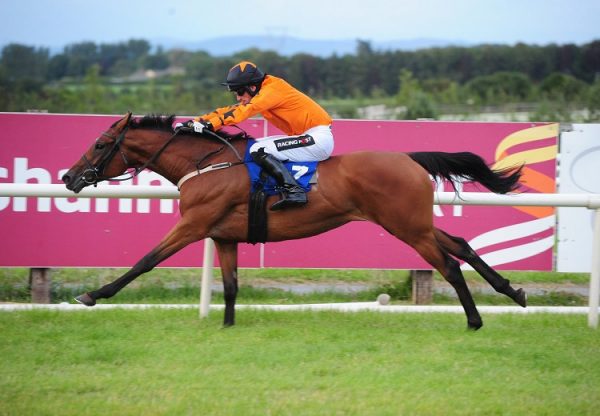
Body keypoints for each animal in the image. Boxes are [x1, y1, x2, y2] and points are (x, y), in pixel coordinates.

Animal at [63, 113, 528, 328]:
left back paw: (474, 320)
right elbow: (230, 286)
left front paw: (92, 295)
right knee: (461, 244)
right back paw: (514, 292)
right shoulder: (224, 236)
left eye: (101, 144)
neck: (207, 164)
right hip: (414, 223)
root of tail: (408, 158)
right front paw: (227, 326)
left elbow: (144, 261)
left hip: (407, 227)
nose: (69, 177)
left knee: (449, 264)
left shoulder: (194, 225)